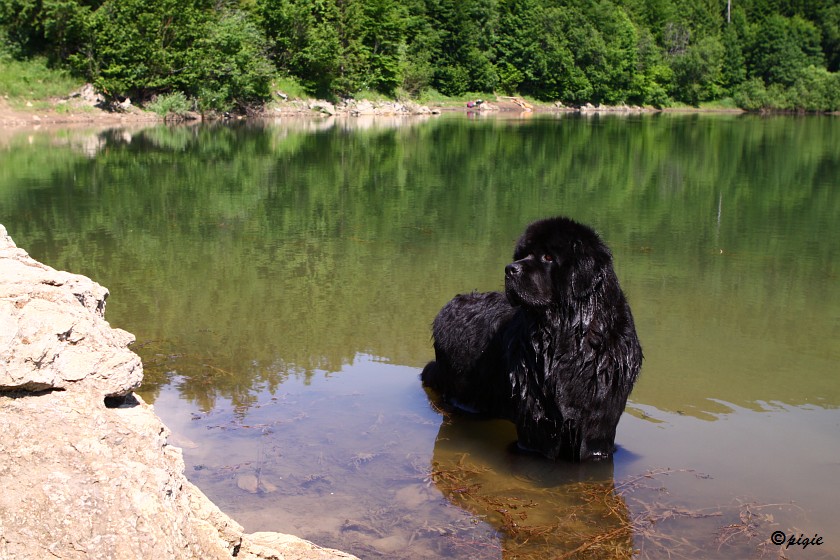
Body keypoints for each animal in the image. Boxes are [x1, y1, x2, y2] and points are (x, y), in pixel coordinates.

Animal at [421, 216, 642, 461]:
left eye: (548, 257)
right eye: (522, 255)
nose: (510, 269)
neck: (569, 337)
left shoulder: (600, 415)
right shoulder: (537, 411)